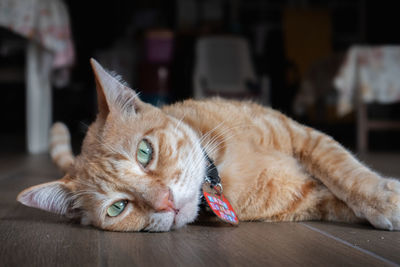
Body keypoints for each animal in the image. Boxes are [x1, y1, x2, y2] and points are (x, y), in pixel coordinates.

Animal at [17, 58, 400, 232]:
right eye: (117, 208)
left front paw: (381, 197)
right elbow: (340, 202)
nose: (166, 202)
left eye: (144, 152)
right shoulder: (306, 200)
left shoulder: (301, 135)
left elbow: (344, 170)